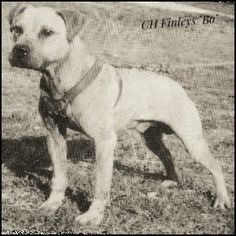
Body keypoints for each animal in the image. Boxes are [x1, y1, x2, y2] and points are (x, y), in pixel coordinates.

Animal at [8, 3, 230, 225]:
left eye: (47, 32)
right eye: (16, 29)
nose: (19, 50)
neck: (61, 77)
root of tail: (177, 85)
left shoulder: (103, 141)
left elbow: (101, 185)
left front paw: (93, 216)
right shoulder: (54, 136)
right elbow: (59, 175)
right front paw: (53, 204)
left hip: (192, 141)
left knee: (215, 164)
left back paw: (221, 199)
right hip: (150, 137)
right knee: (167, 154)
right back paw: (171, 181)